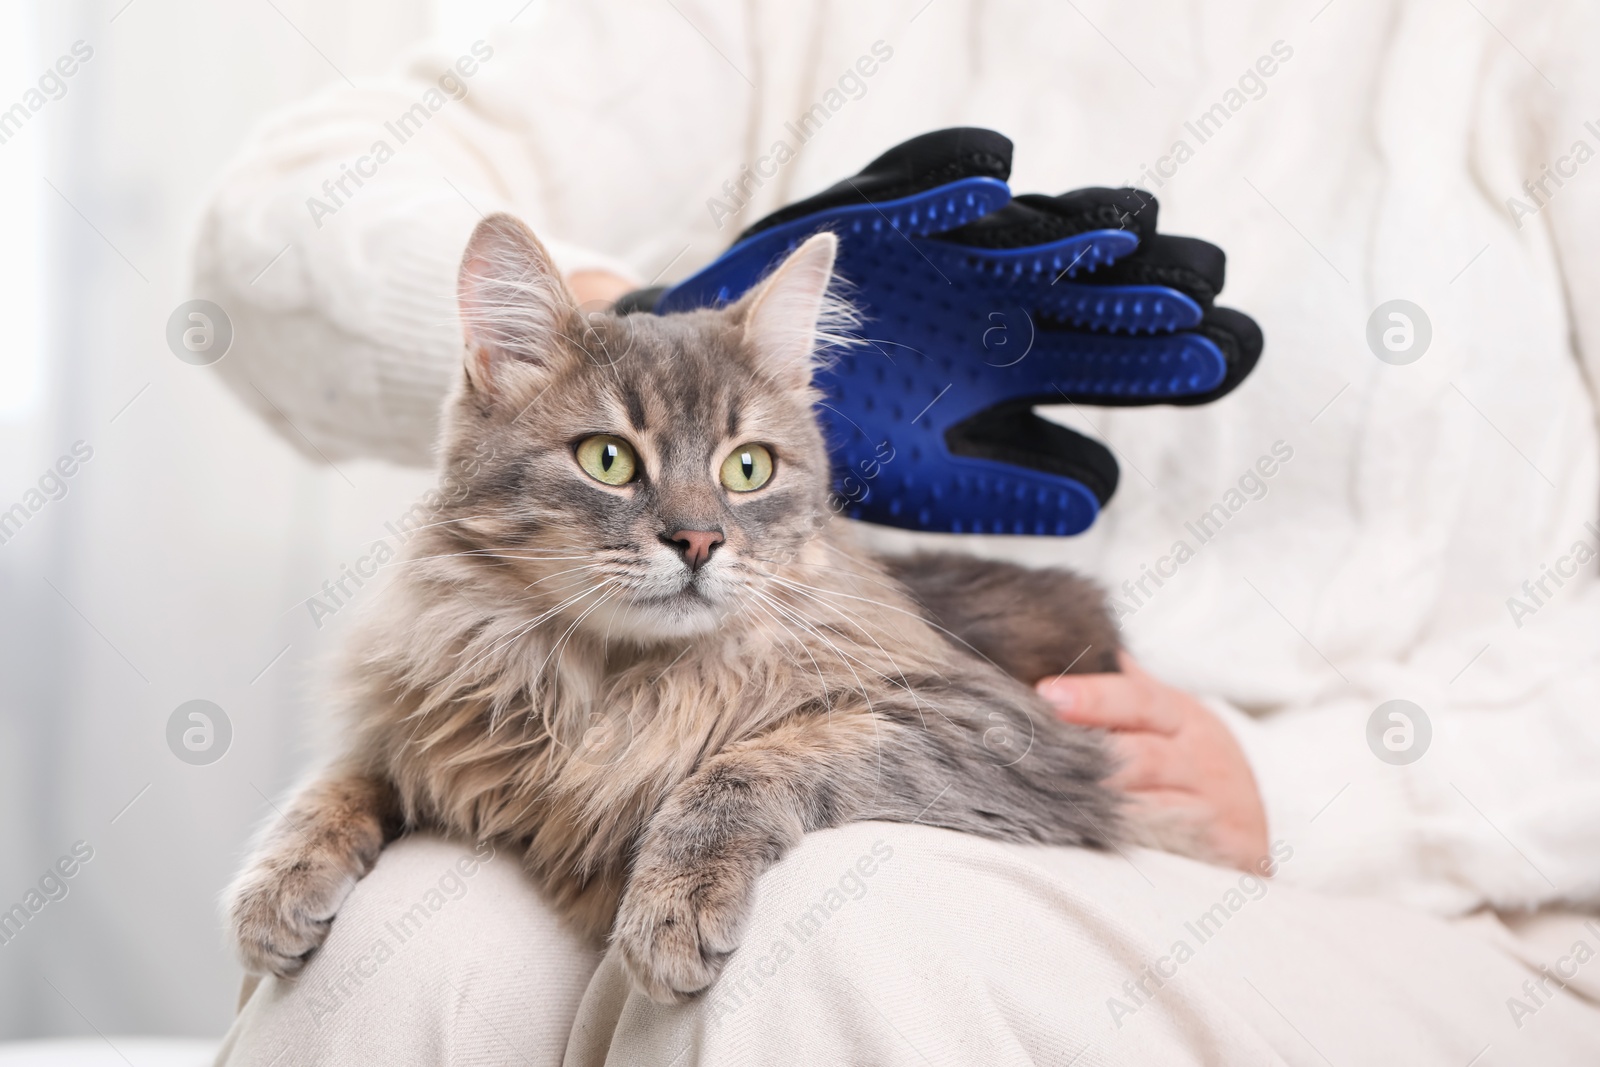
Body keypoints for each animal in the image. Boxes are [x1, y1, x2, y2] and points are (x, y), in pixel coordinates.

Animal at [225, 214, 1126, 1004]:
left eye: (748, 468)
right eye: (608, 459)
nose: (697, 541)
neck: (612, 684)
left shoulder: (997, 727)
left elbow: (747, 763)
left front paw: (670, 906)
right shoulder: (429, 709)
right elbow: (340, 777)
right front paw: (275, 885)